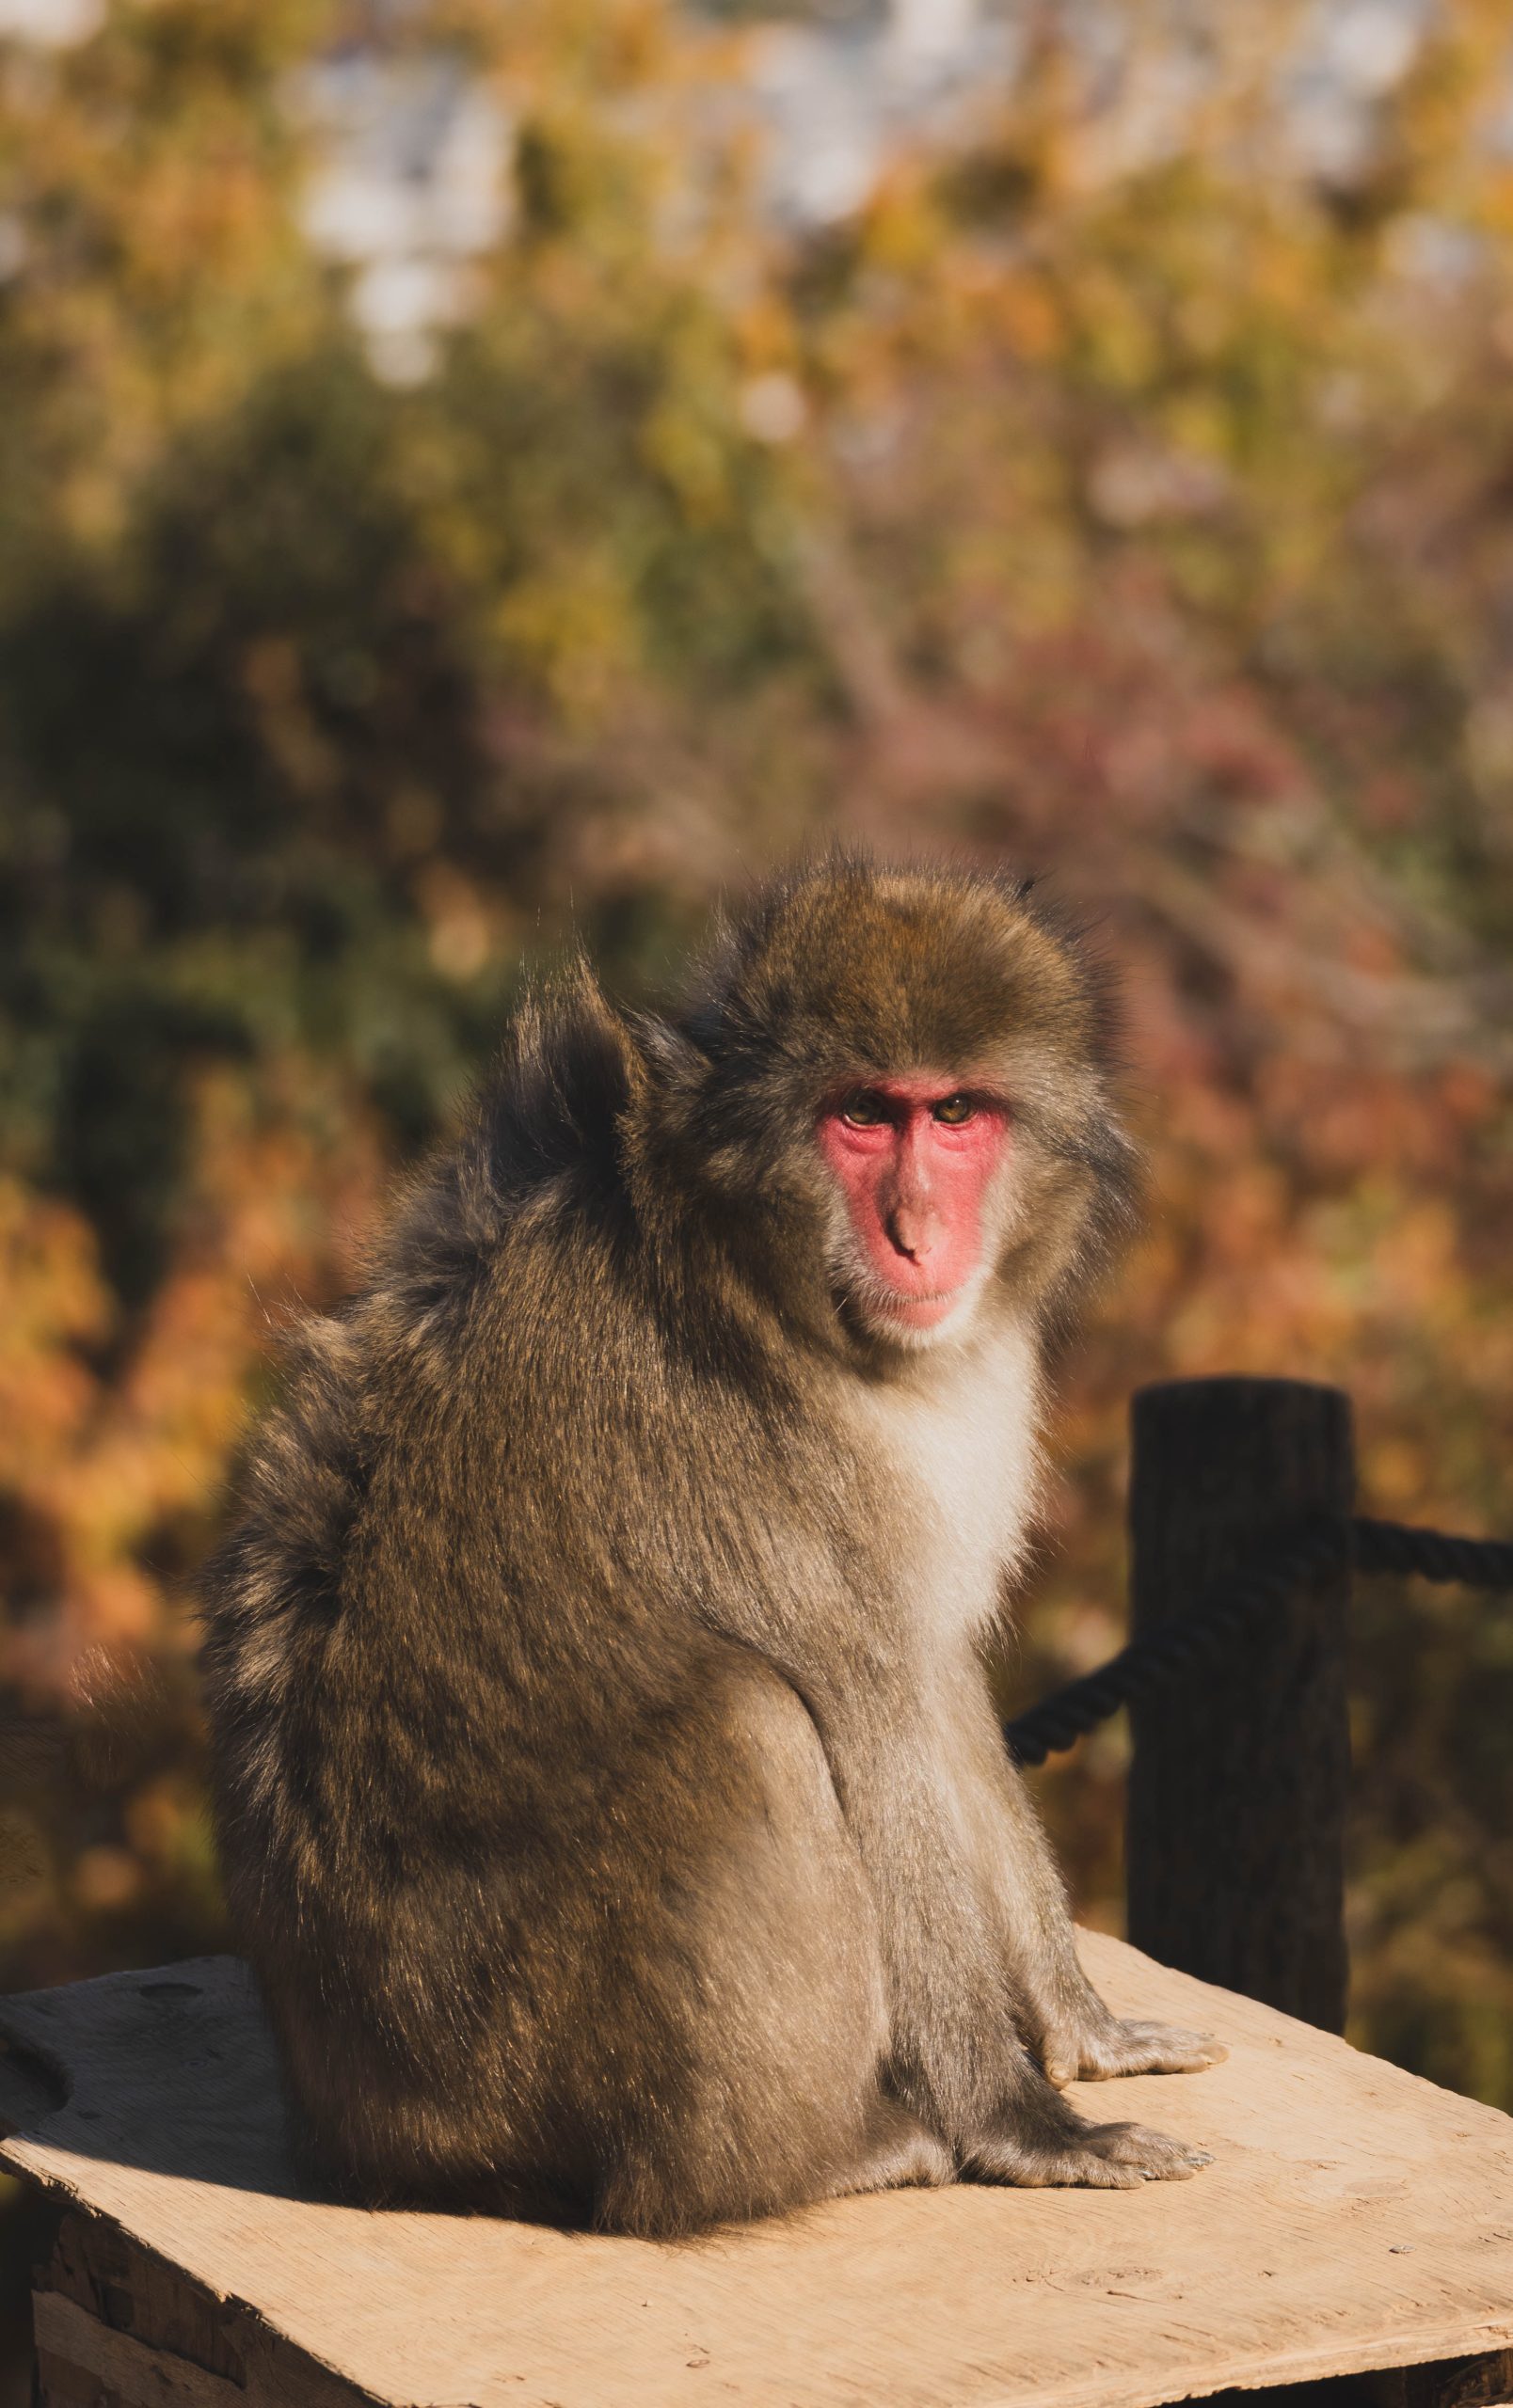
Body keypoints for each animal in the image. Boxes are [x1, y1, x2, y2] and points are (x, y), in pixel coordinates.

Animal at [200, 855, 1224, 2238]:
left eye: (956, 1113)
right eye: (864, 1117)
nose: (917, 1231)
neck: (766, 1272)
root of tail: (368, 2138)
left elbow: (937, 1687)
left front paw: (1084, 2028)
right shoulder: (771, 1467)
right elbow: (874, 1724)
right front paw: (1022, 2122)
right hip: (499, 2048)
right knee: (753, 1729)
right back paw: (795, 2163)